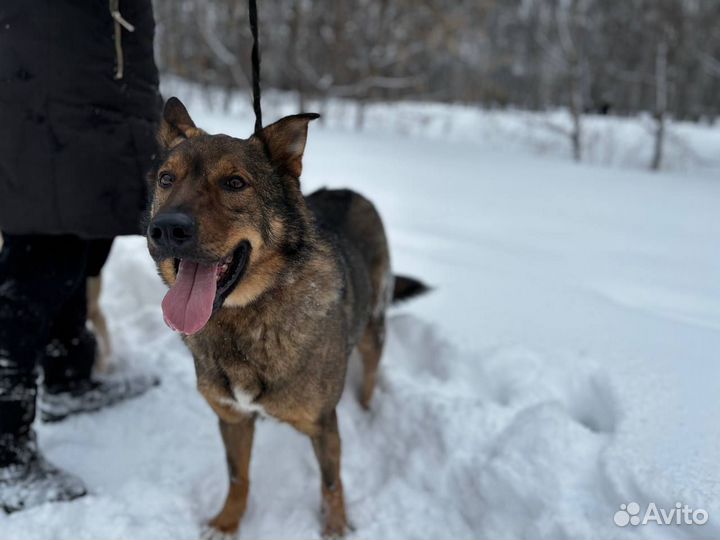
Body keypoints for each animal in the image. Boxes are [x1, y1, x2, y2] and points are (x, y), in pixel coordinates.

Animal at [146, 99, 428, 536]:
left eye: (235, 183)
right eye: (165, 178)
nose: (165, 229)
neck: (249, 318)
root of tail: (349, 192)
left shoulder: (323, 424)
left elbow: (331, 484)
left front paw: (335, 529)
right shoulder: (233, 418)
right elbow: (238, 476)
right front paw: (226, 524)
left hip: (373, 330)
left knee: (369, 378)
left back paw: (367, 413)